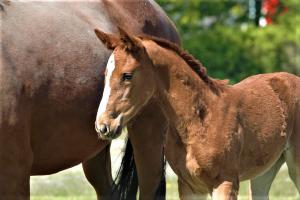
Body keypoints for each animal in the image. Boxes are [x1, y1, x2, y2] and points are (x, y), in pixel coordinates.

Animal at [94, 28, 300, 200]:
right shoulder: (189, 186)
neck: (200, 120)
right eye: (105, 74)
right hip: (264, 171)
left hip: (295, 167)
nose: (103, 125)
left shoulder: (225, 183)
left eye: (127, 75)